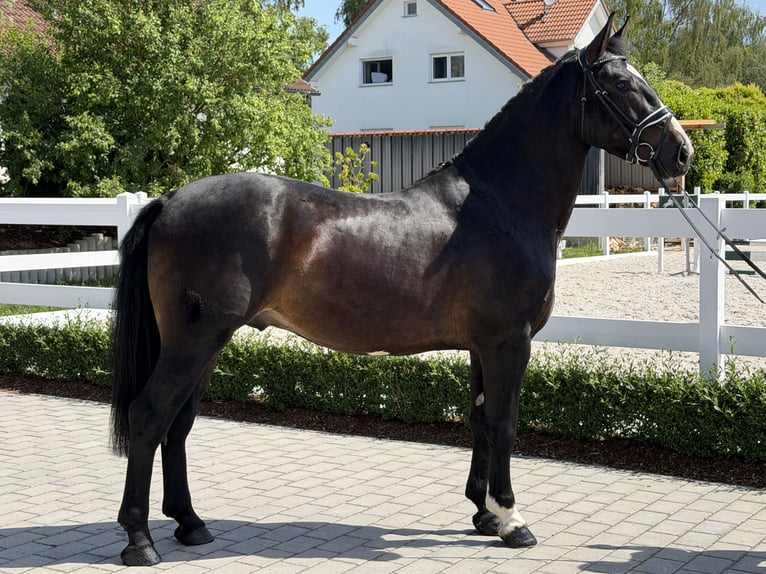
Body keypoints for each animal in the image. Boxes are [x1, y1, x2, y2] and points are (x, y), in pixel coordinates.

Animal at [110, 15, 692, 566]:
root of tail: (169, 200)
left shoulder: (482, 346)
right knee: (149, 416)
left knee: (178, 424)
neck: (500, 202)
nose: (681, 153)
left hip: (205, 343)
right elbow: (504, 423)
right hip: (193, 343)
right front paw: (512, 519)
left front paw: (483, 514)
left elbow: (480, 420)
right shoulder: (510, 341)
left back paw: (191, 524)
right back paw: (140, 540)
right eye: (621, 84)